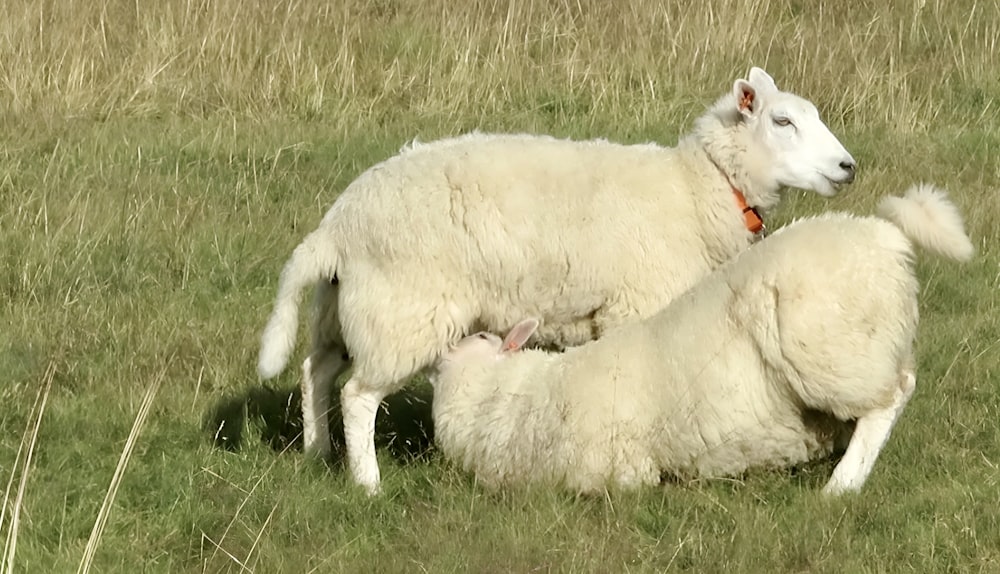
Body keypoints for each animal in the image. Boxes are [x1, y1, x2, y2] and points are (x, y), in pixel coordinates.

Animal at [260, 66, 860, 496]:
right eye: (782, 122)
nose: (848, 167)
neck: (696, 190)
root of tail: (336, 227)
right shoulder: (637, 307)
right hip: (401, 310)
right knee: (359, 395)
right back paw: (367, 483)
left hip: (344, 307)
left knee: (316, 371)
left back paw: (317, 452)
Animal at [432, 184, 976, 496]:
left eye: (482, 334)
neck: (516, 397)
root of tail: (887, 237)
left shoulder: (617, 476)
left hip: (835, 354)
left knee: (891, 398)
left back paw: (842, 486)